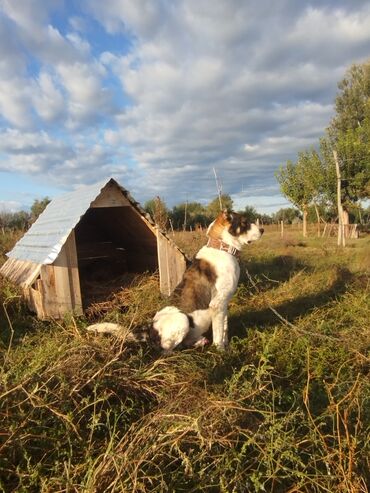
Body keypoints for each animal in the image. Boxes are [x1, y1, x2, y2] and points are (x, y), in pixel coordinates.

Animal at [88, 209, 264, 352]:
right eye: (244, 222)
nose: (262, 229)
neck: (222, 247)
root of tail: (149, 329)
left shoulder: (223, 304)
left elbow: (224, 329)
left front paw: (226, 346)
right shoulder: (217, 304)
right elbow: (219, 334)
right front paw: (221, 352)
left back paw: (199, 342)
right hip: (182, 320)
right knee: (165, 350)